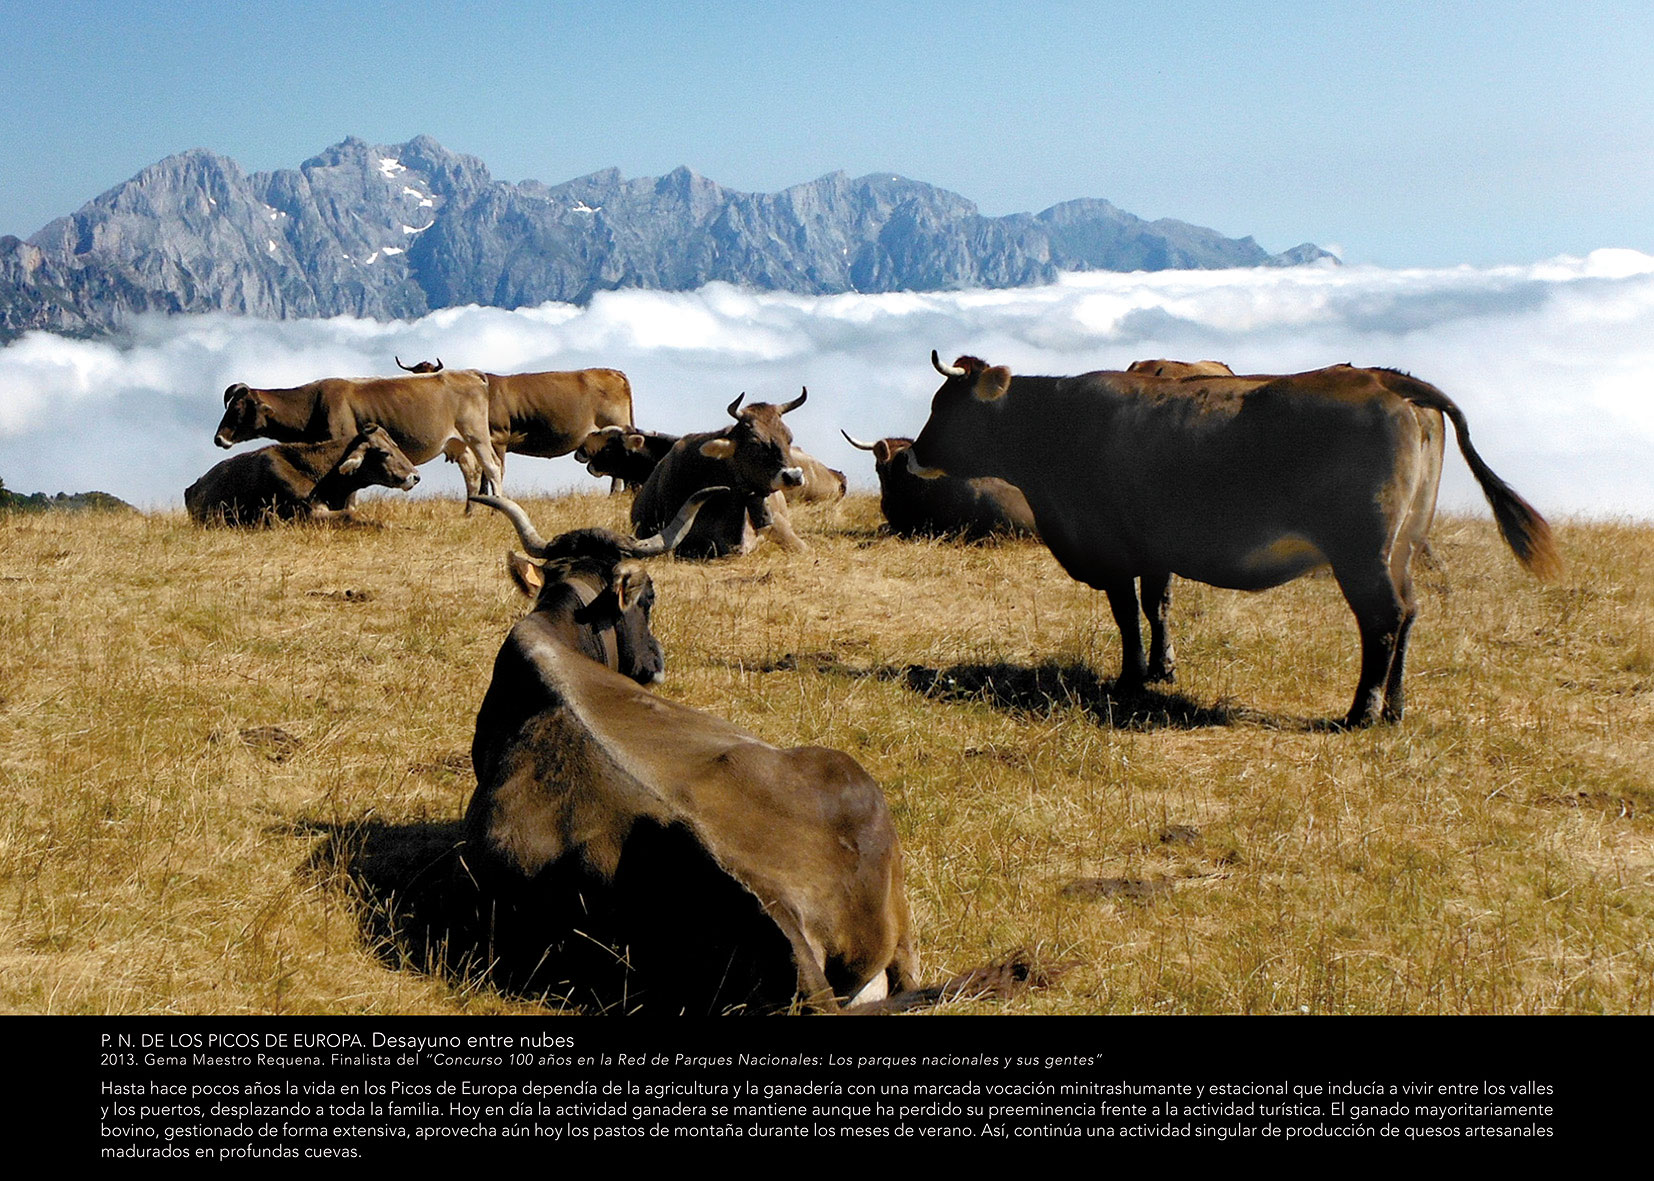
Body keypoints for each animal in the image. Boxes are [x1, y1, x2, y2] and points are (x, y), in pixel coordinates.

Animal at [185, 418, 420, 519]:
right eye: (383, 452)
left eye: (396, 445)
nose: (415, 476)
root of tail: (193, 486)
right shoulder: (307, 513)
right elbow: (352, 516)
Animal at [913, 349, 1554, 721]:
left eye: (943, 405)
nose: (916, 452)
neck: (1058, 424)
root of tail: (1389, 380)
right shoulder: (1154, 548)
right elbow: (1158, 605)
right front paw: (1163, 669)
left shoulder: (1113, 548)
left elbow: (1127, 616)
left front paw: (1130, 679)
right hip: (1401, 545)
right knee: (1411, 613)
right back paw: (1395, 707)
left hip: (1362, 550)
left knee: (1384, 619)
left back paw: (1362, 711)